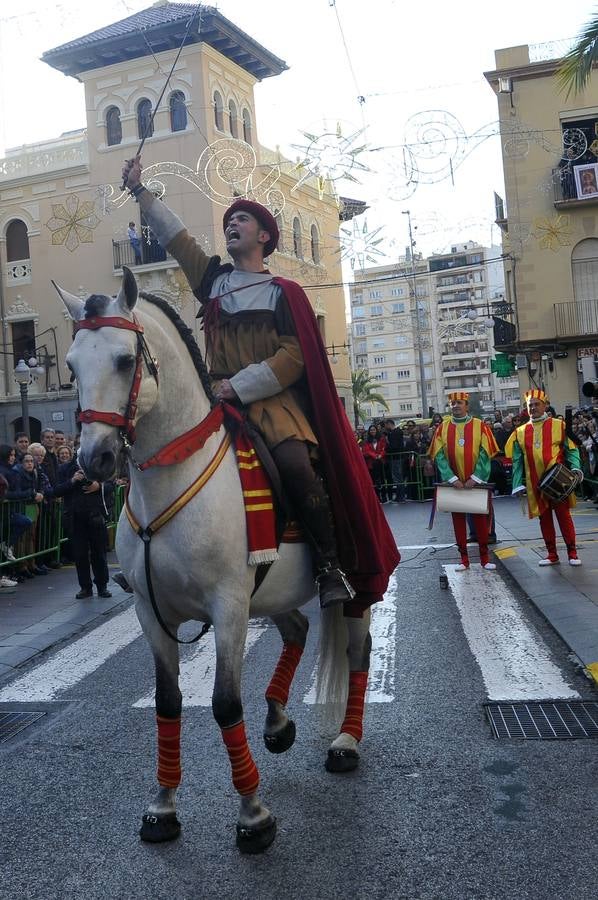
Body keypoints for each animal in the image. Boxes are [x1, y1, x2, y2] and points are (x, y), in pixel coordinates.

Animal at [57, 270, 376, 856]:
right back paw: (277, 723)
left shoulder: (227, 607)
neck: (171, 479)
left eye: (124, 360)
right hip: (269, 592)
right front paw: (162, 807)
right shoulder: (152, 613)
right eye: (70, 365)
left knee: (358, 652)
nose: (95, 460)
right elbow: (168, 701)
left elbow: (225, 704)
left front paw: (253, 814)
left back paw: (346, 740)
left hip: (356, 584)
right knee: (296, 631)